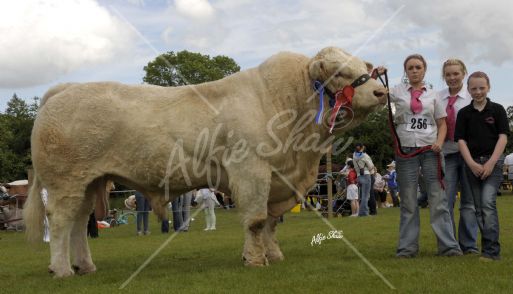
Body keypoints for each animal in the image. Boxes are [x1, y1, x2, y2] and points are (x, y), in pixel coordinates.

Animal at [24, 47, 384, 276]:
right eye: (341, 72)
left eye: (364, 69)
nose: (381, 93)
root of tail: (64, 90)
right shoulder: (251, 171)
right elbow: (256, 220)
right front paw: (255, 261)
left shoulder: (277, 179)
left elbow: (269, 222)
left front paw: (273, 255)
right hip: (66, 182)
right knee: (61, 222)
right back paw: (62, 269)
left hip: (88, 183)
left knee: (78, 224)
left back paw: (84, 266)